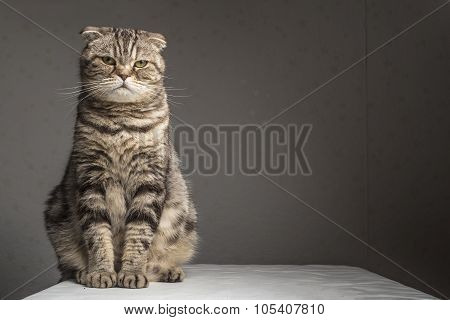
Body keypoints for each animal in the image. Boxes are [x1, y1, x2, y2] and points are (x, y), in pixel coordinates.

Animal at [44, 26, 198, 288]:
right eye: (108, 60)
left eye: (140, 63)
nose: (124, 74)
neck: (122, 122)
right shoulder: (90, 177)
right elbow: (97, 233)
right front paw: (101, 272)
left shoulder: (149, 179)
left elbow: (140, 233)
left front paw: (132, 272)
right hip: (56, 215)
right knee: (68, 267)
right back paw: (84, 272)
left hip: (186, 216)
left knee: (159, 258)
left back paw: (167, 270)